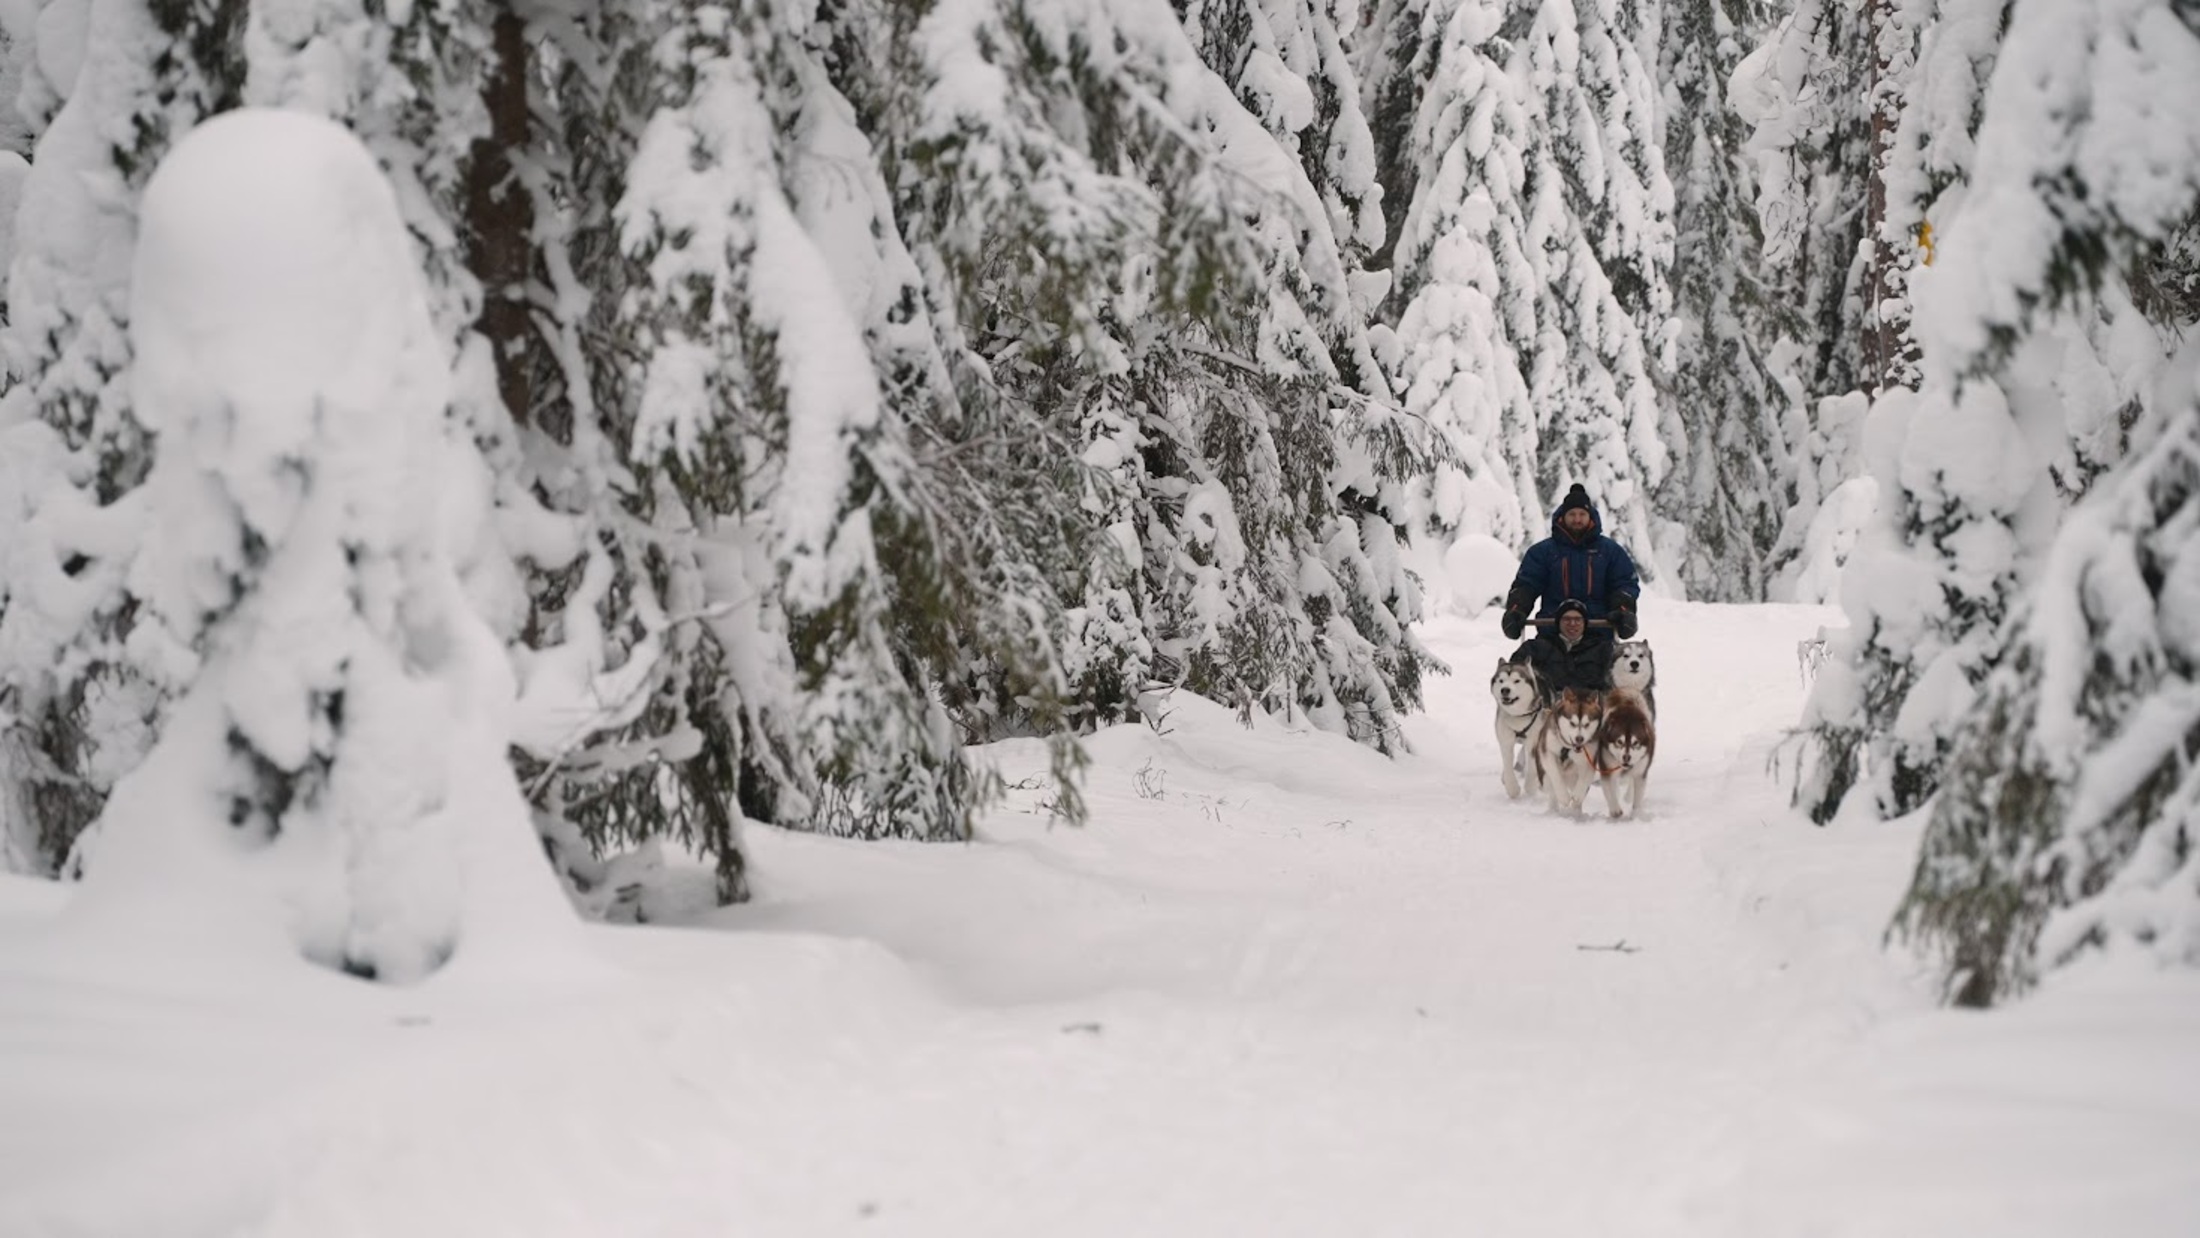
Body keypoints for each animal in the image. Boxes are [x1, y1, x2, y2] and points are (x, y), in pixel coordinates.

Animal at [1496, 659, 1548, 804]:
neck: (1518, 715)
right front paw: (1512, 789)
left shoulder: (1534, 740)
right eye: (1501, 680)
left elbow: (1532, 767)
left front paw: (1531, 787)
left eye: (1516, 680)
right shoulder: (1506, 739)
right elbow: (1508, 764)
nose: (1505, 690)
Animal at [1592, 686, 1654, 822]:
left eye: (1635, 743)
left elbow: (1637, 799)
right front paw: (1615, 810)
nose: (1626, 757)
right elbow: (1610, 792)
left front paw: (1635, 815)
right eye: (1619, 742)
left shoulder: (1640, 772)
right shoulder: (1607, 768)